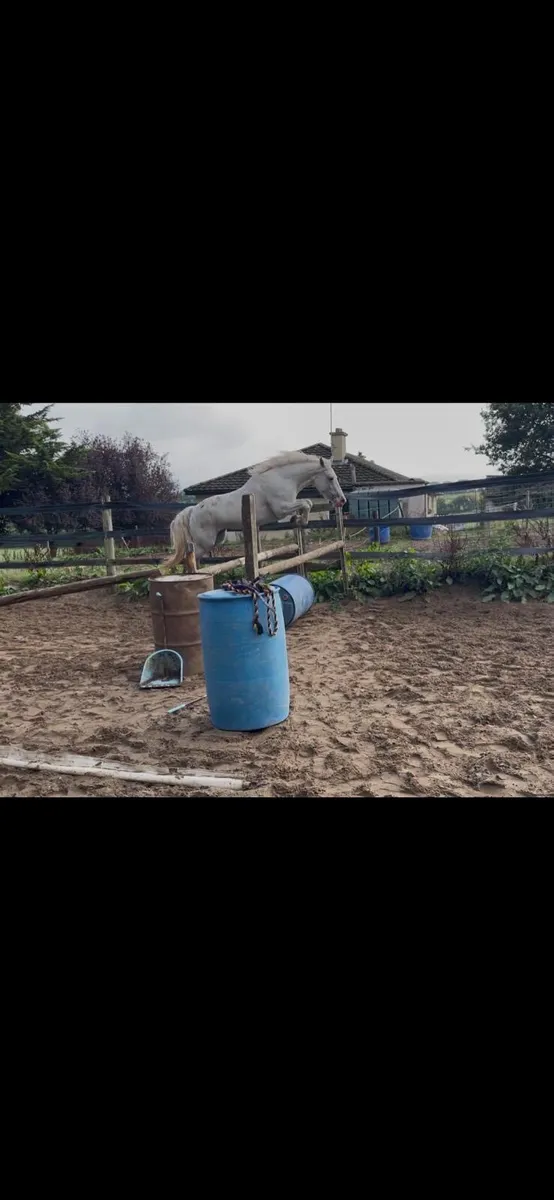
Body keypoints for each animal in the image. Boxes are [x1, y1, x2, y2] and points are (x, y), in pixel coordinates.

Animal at [162, 451, 346, 571]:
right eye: (331, 478)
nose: (342, 500)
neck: (284, 478)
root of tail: (192, 510)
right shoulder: (281, 508)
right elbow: (307, 503)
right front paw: (301, 520)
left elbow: (306, 504)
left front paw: (298, 521)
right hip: (203, 543)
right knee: (187, 561)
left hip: (216, 539)